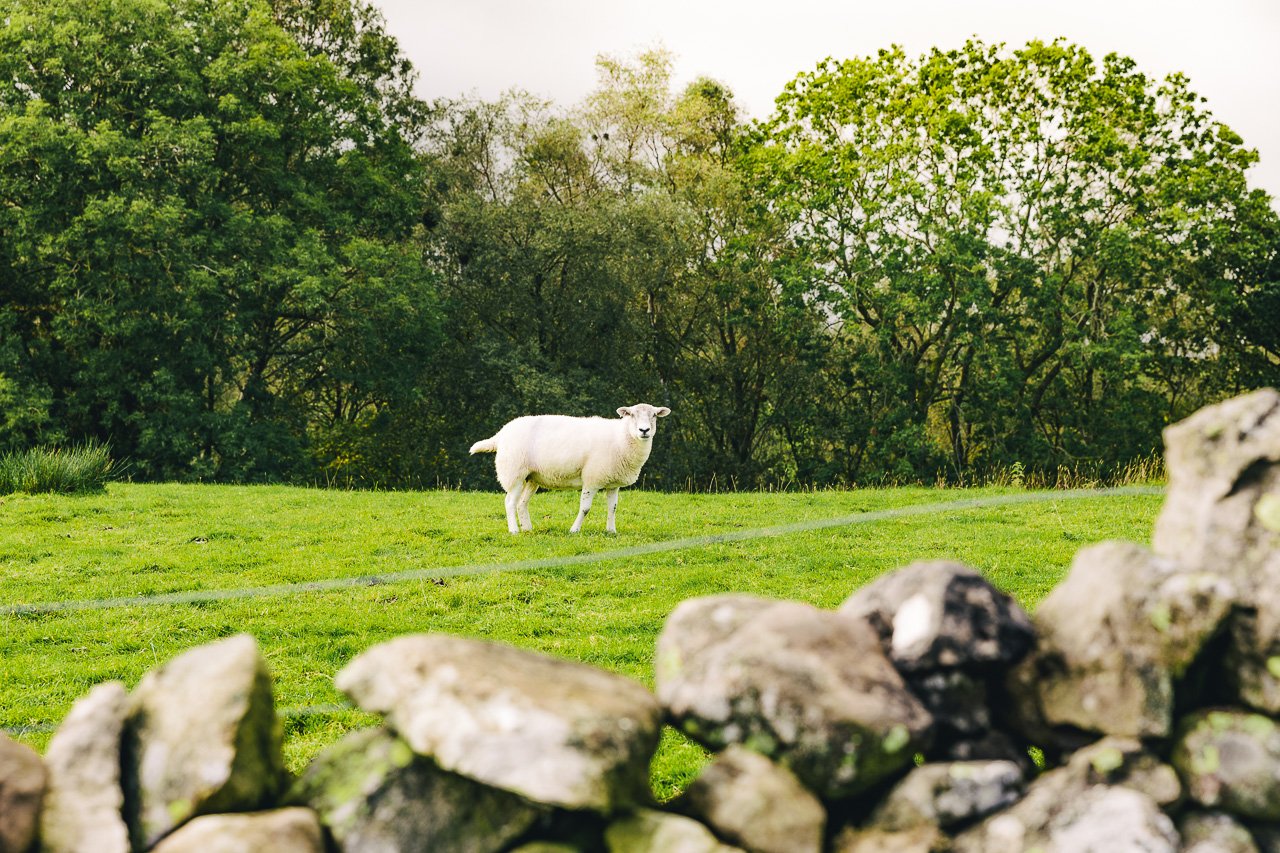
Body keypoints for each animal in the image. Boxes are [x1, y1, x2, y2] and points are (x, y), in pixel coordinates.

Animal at [468, 404, 670, 532]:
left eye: (654, 415)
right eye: (632, 415)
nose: (644, 431)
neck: (621, 437)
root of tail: (501, 433)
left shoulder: (613, 482)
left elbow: (612, 508)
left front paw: (611, 531)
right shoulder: (592, 478)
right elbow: (585, 508)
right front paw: (574, 530)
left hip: (532, 477)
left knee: (522, 503)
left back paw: (527, 528)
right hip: (514, 472)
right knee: (510, 502)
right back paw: (514, 530)